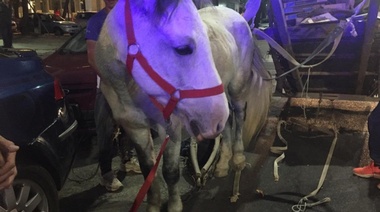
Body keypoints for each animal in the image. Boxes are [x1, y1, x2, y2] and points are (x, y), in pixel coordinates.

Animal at [96, 0, 230, 210]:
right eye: (183, 48)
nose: (218, 116)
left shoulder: (170, 127)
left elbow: (170, 172)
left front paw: (175, 206)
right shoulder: (135, 128)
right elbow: (148, 170)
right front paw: (153, 205)